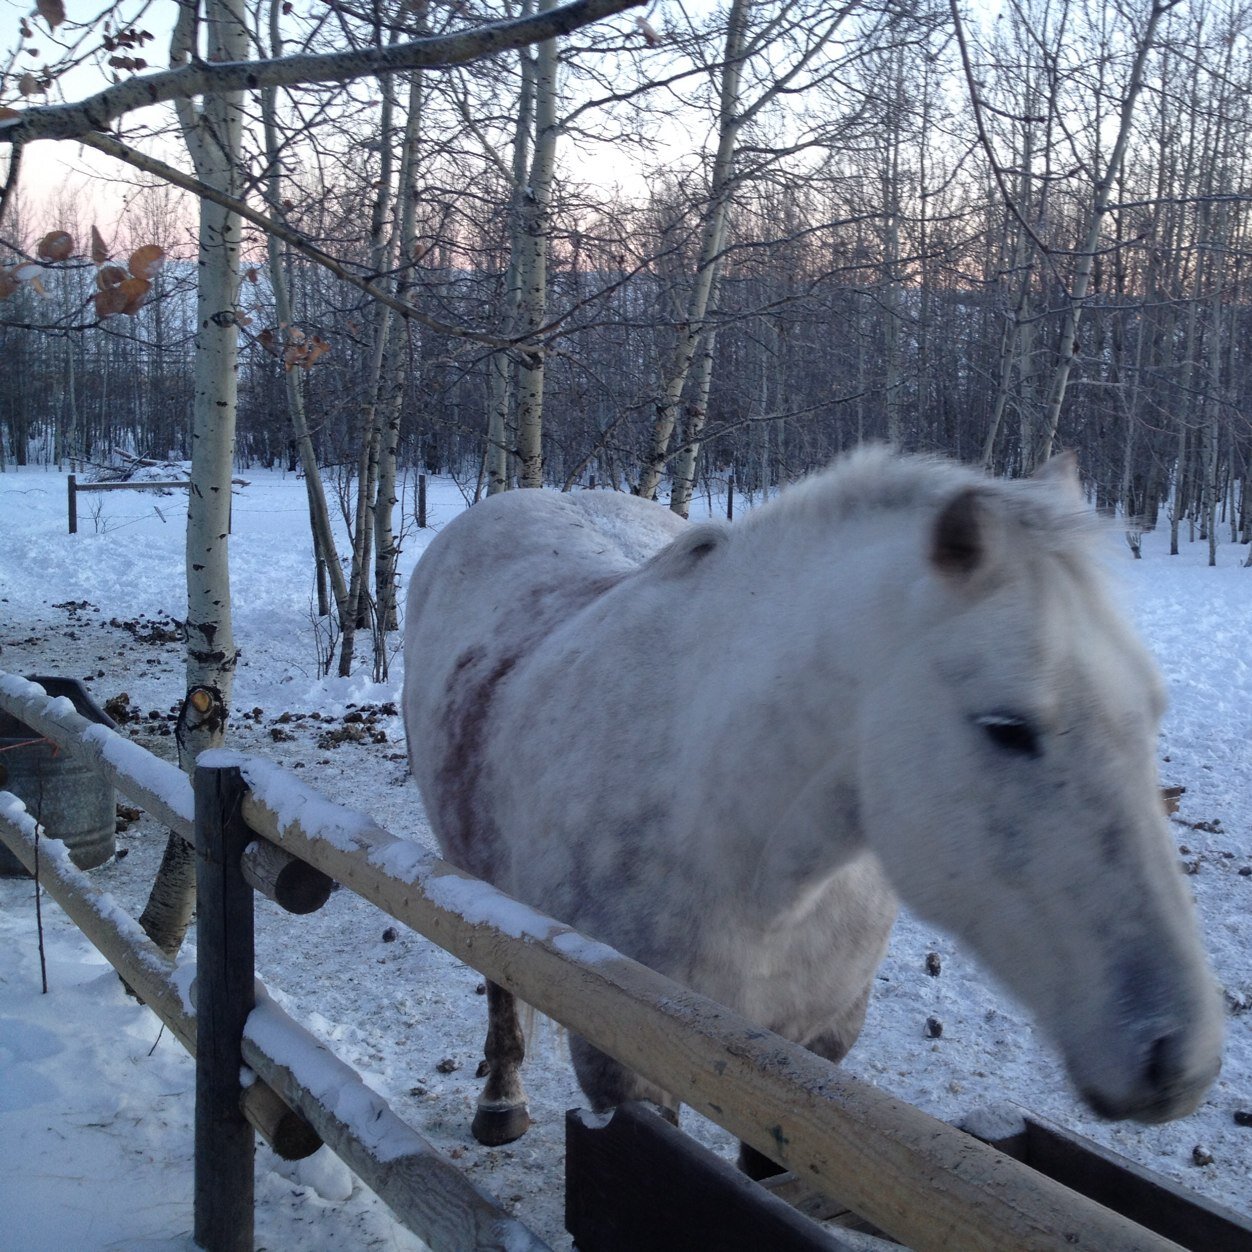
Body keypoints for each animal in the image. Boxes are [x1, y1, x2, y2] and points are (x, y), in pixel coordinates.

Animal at [403, 448, 1221, 1161]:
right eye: (1007, 727)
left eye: (1153, 710)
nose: (1177, 1057)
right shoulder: (625, 1065)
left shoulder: (815, 1051)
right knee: (499, 983)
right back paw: (500, 1105)